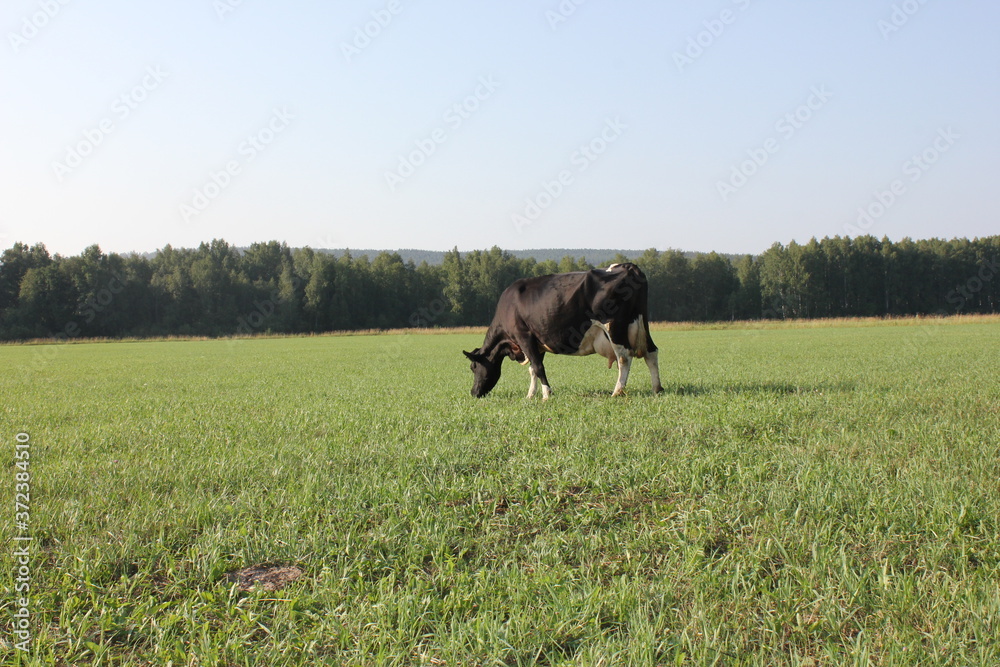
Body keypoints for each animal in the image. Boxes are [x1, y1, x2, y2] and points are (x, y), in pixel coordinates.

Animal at [463, 263, 662, 399]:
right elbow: (532, 369)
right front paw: (530, 395)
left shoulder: (524, 336)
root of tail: (628, 266)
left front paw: (546, 394)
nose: (474, 392)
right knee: (651, 352)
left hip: (614, 328)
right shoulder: (537, 341)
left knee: (624, 358)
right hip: (642, 322)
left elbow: (538, 367)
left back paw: (617, 391)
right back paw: (657, 388)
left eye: (474, 367)